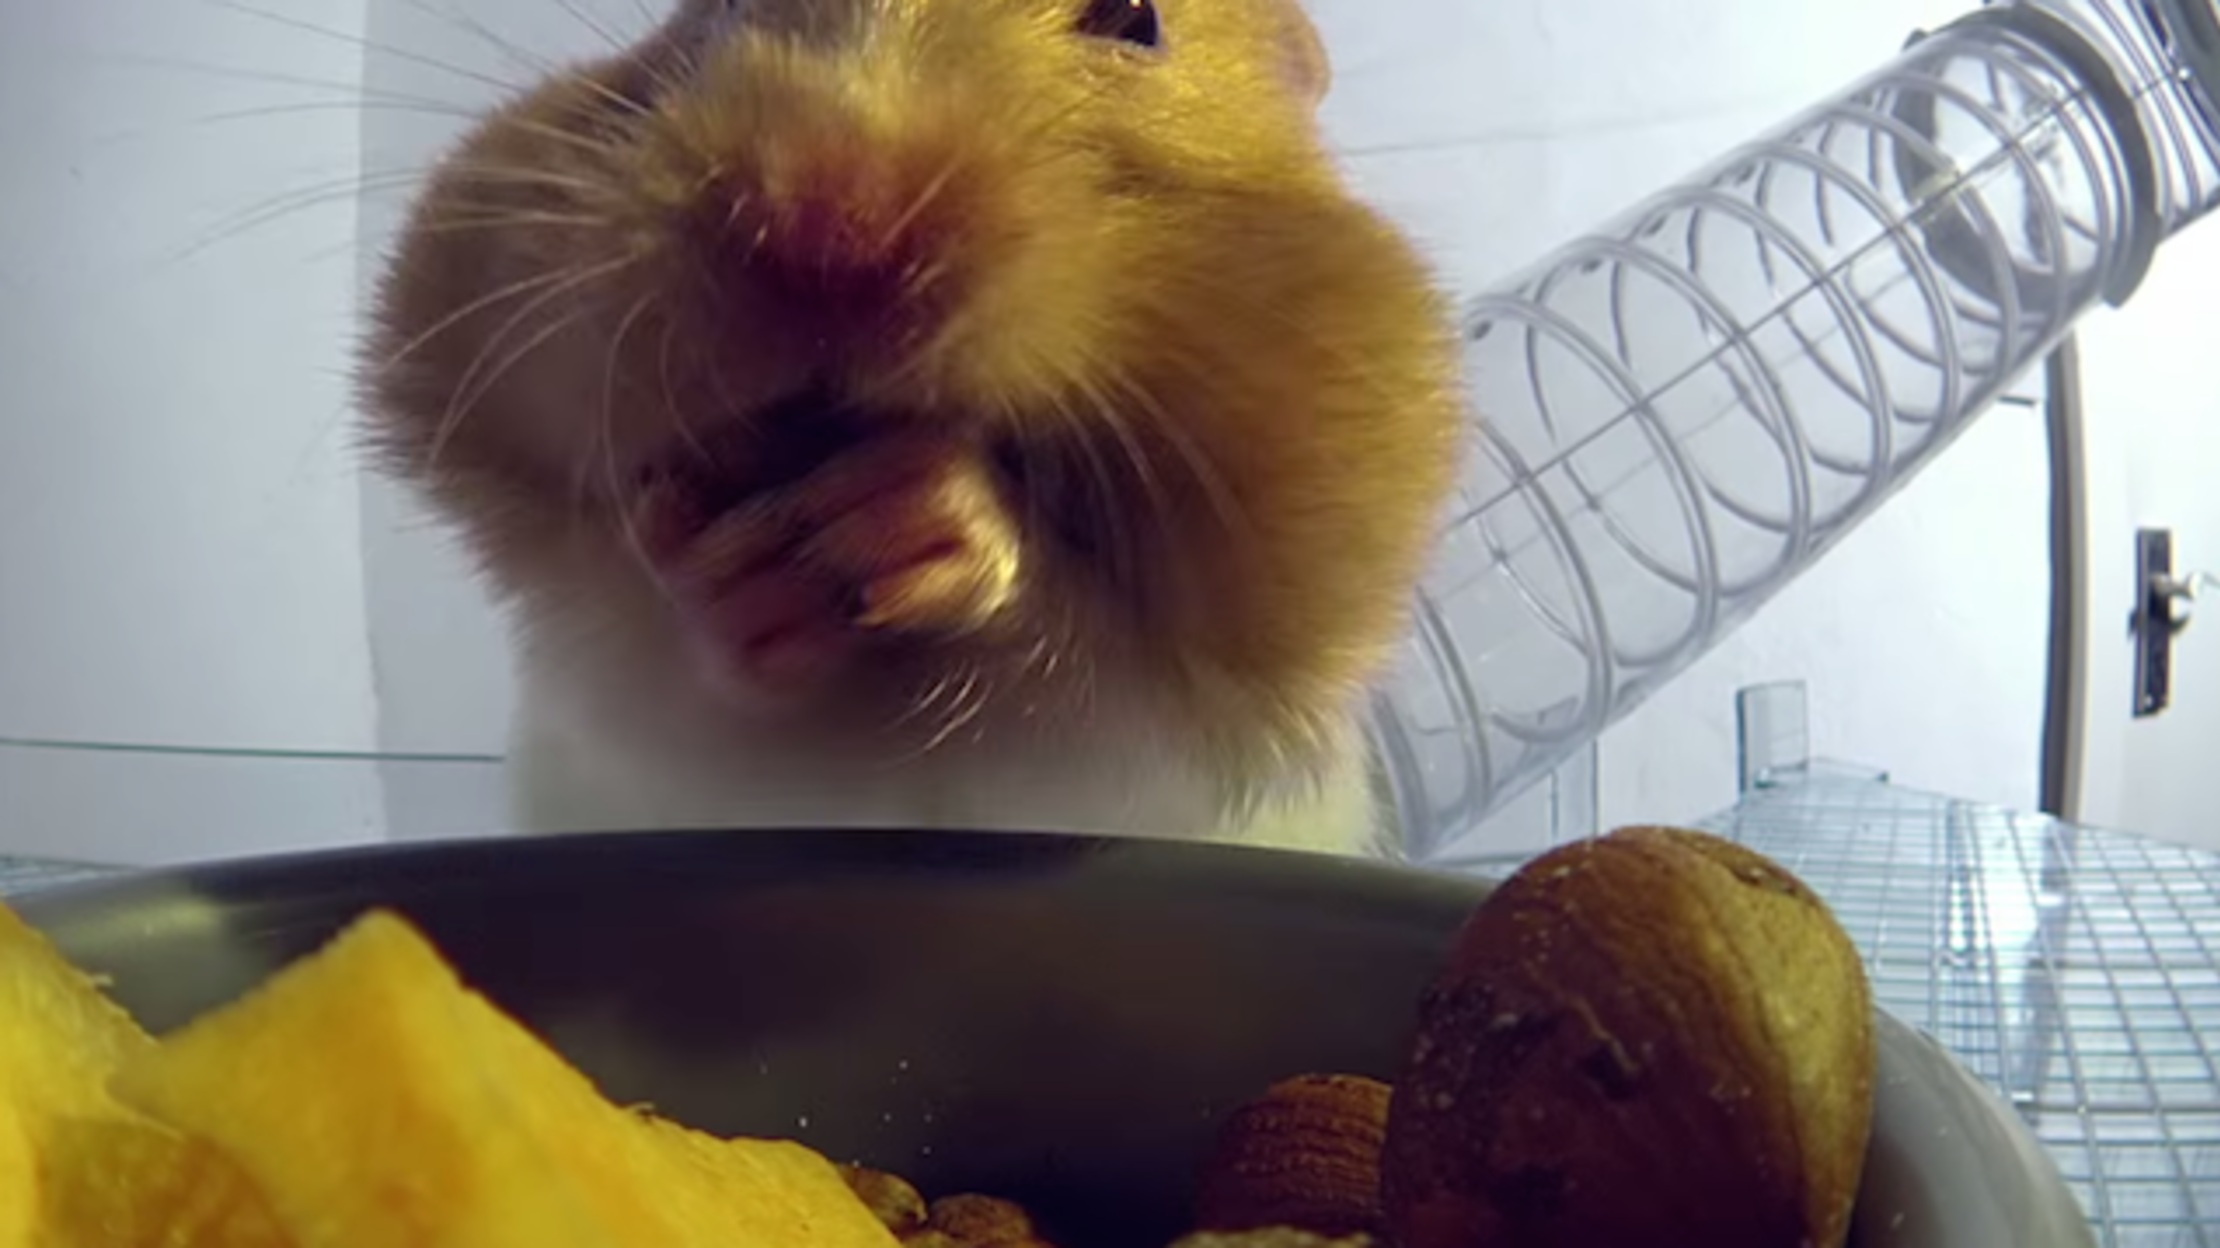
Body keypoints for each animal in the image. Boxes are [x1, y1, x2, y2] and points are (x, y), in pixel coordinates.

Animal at [359, 0, 1466, 856]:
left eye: (1136, 21)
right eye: (717, 6)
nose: (821, 224)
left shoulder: (1172, 730)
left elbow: (1064, 645)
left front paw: (911, 518)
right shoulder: (606, 676)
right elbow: (673, 647)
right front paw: (743, 564)